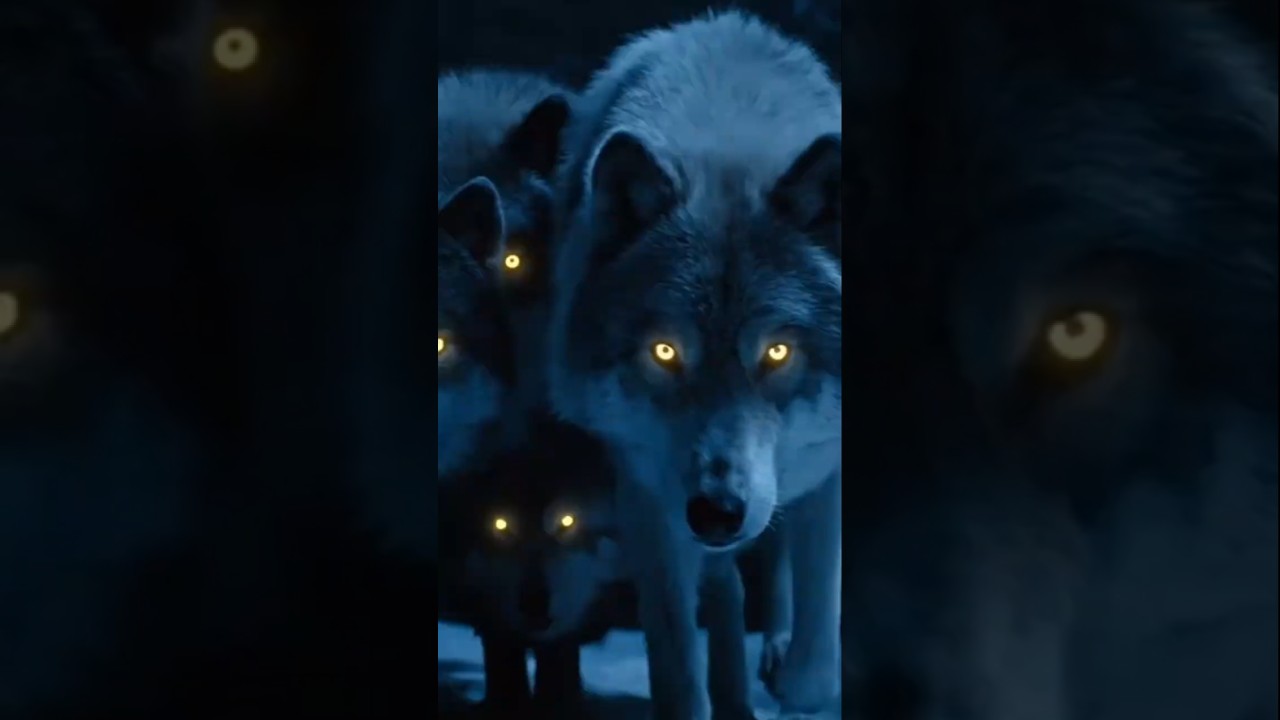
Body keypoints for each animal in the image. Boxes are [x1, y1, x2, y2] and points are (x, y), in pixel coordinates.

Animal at [546, 11, 844, 718]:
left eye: (777, 352)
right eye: (665, 352)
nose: (716, 511)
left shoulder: (832, 466)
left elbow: (818, 660)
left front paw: (802, 680)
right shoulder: (647, 492)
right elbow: (678, 663)